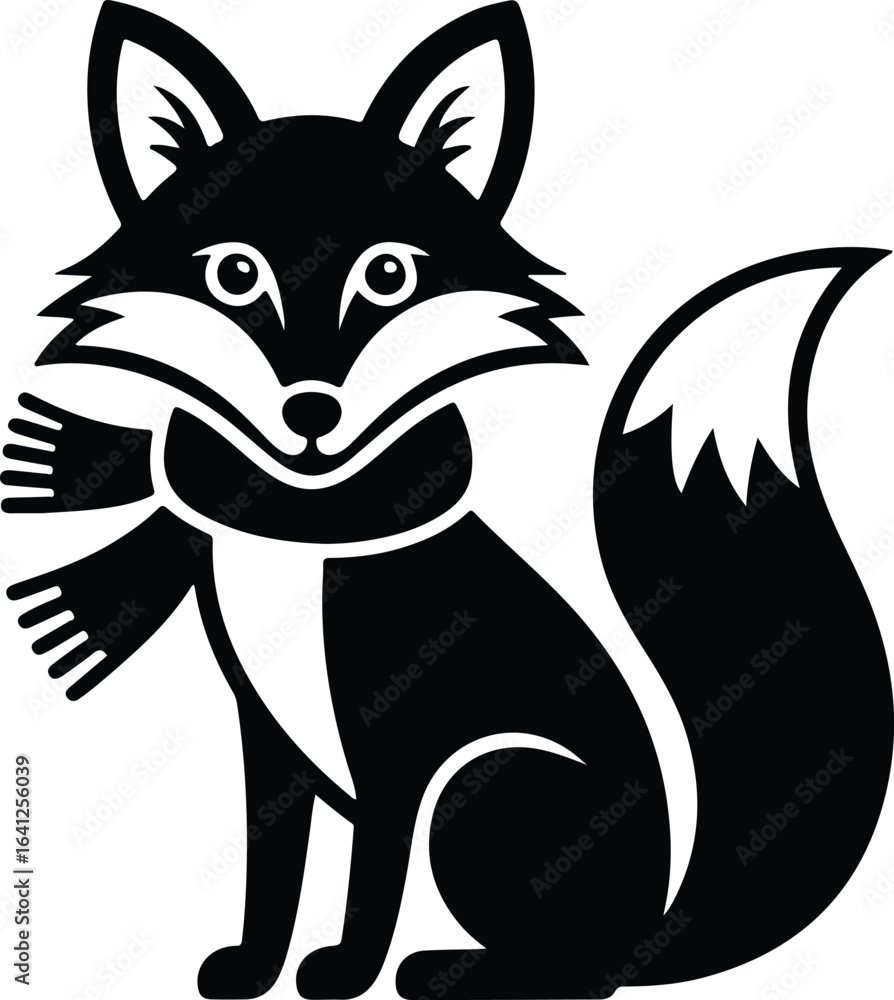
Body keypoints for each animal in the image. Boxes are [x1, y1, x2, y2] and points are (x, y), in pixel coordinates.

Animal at [3, 2, 893, 999]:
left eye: (389, 275)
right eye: (234, 274)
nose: (311, 413)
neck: (304, 527)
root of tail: (659, 924)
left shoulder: (396, 749)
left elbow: (370, 880)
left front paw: (343, 972)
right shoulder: (266, 740)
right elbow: (272, 872)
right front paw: (253, 967)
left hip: (485, 784)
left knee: (579, 969)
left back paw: (444, 969)